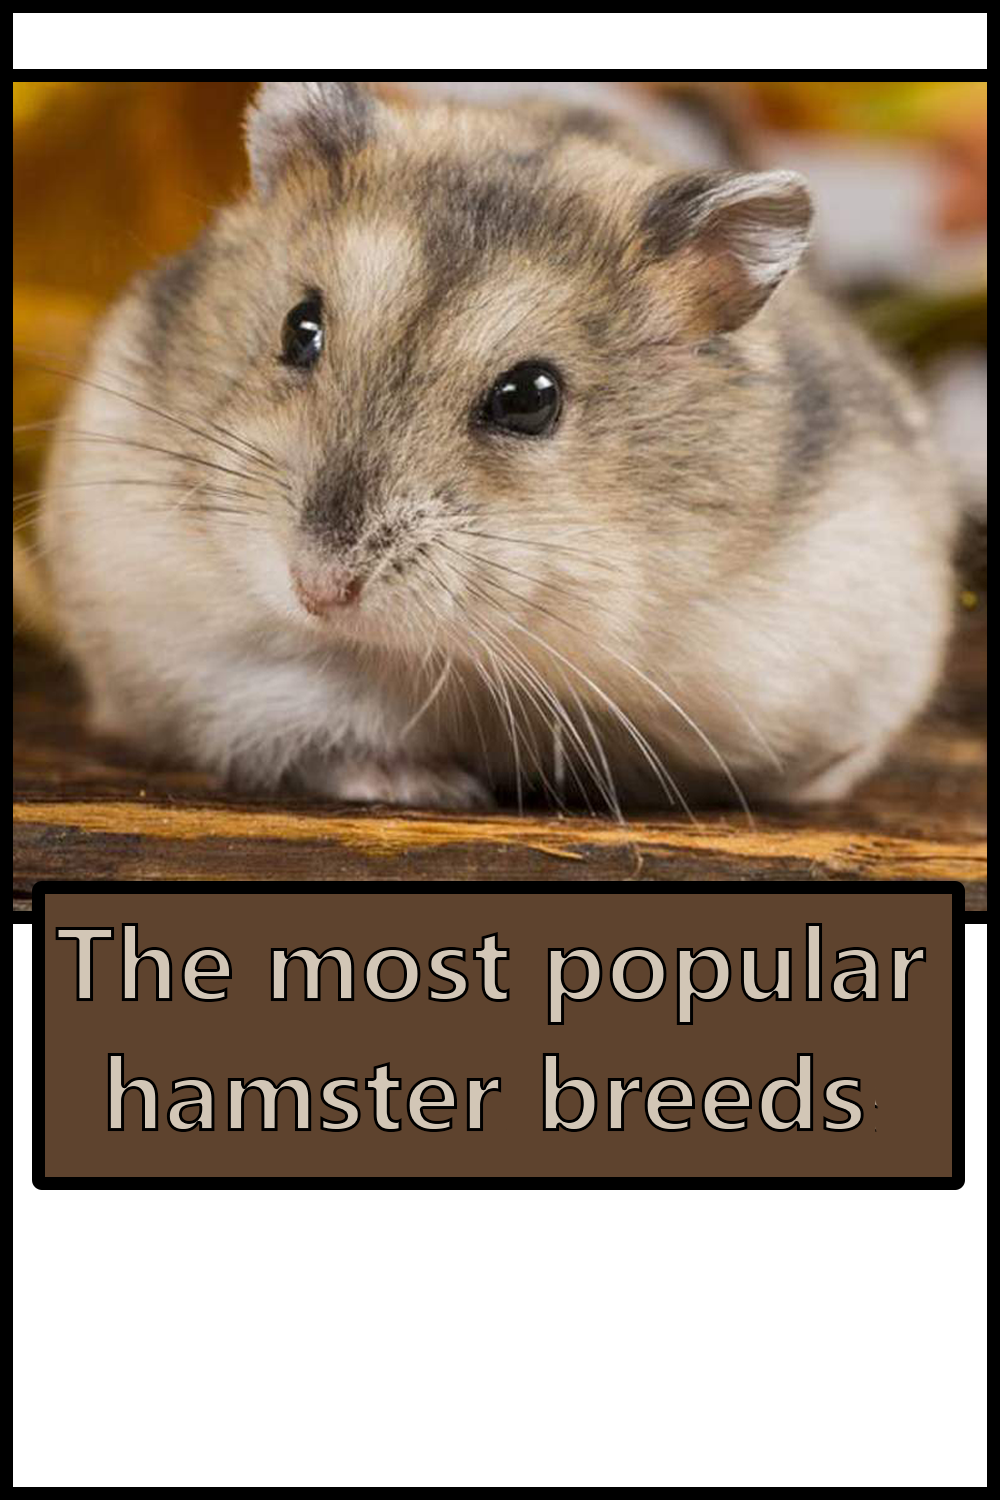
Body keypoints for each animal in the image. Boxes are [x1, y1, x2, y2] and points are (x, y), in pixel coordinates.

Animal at [40, 81, 959, 815]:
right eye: (300, 329)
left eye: (531, 399)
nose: (316, 588)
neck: (459, 663)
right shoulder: (176, 644)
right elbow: (309, 717)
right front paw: (421, 784)